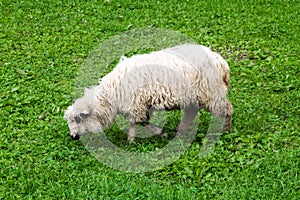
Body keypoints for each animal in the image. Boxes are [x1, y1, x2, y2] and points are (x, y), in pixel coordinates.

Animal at [64, 44, 233, 143]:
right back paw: (180, 131)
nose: (73, 137)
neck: (110, 96)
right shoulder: (141, 104)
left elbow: (139, 122)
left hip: (211, 93)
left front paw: (132, 140)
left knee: (227, 109)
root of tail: (221, 62)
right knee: (191, 112)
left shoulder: (137, 104)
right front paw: (157, 133)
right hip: (194, 97)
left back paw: (226, 131)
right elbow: (140, 122)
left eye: (78, 119)